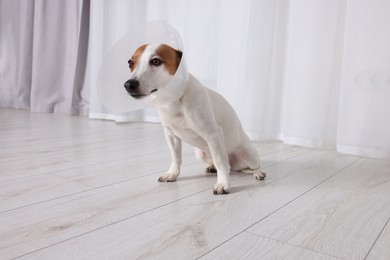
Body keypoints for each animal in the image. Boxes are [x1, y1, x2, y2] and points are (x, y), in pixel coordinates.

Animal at [123, 43, 266, 193]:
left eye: (156, 61)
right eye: (130, 63)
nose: (129, 84)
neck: (175, 101)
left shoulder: (213, 134)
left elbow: (220, 162)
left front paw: (223, 183)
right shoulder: (171, 135)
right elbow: (176, 158)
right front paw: (172, 174)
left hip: (248, 155)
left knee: (247, 167)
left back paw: (258, 172)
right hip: (200, 154)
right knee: (226, 165)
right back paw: (212, 166)